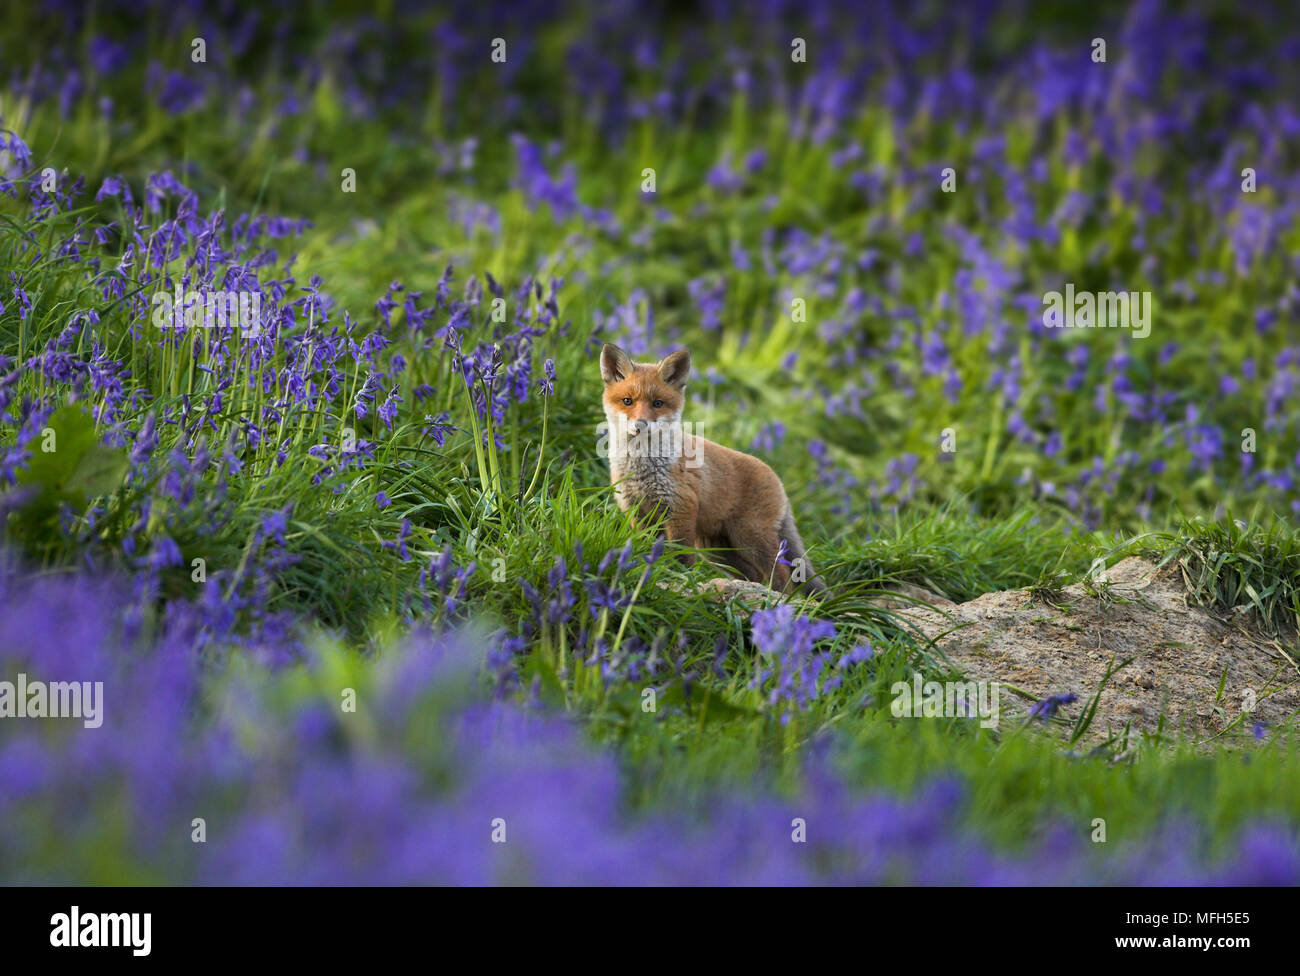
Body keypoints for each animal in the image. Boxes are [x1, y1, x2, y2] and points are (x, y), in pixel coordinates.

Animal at [595, 343, 821, 595]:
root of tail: (777, 479)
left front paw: (679, 581)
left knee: (782, 575)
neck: (641, 467)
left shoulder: (681, 508)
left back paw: (779, 600)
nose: (640, 425)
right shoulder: (635, 510)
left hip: (749, 538)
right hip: (716, 549)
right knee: (753, 574)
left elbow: (680, 557)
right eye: (627, 401)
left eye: (657, 403)